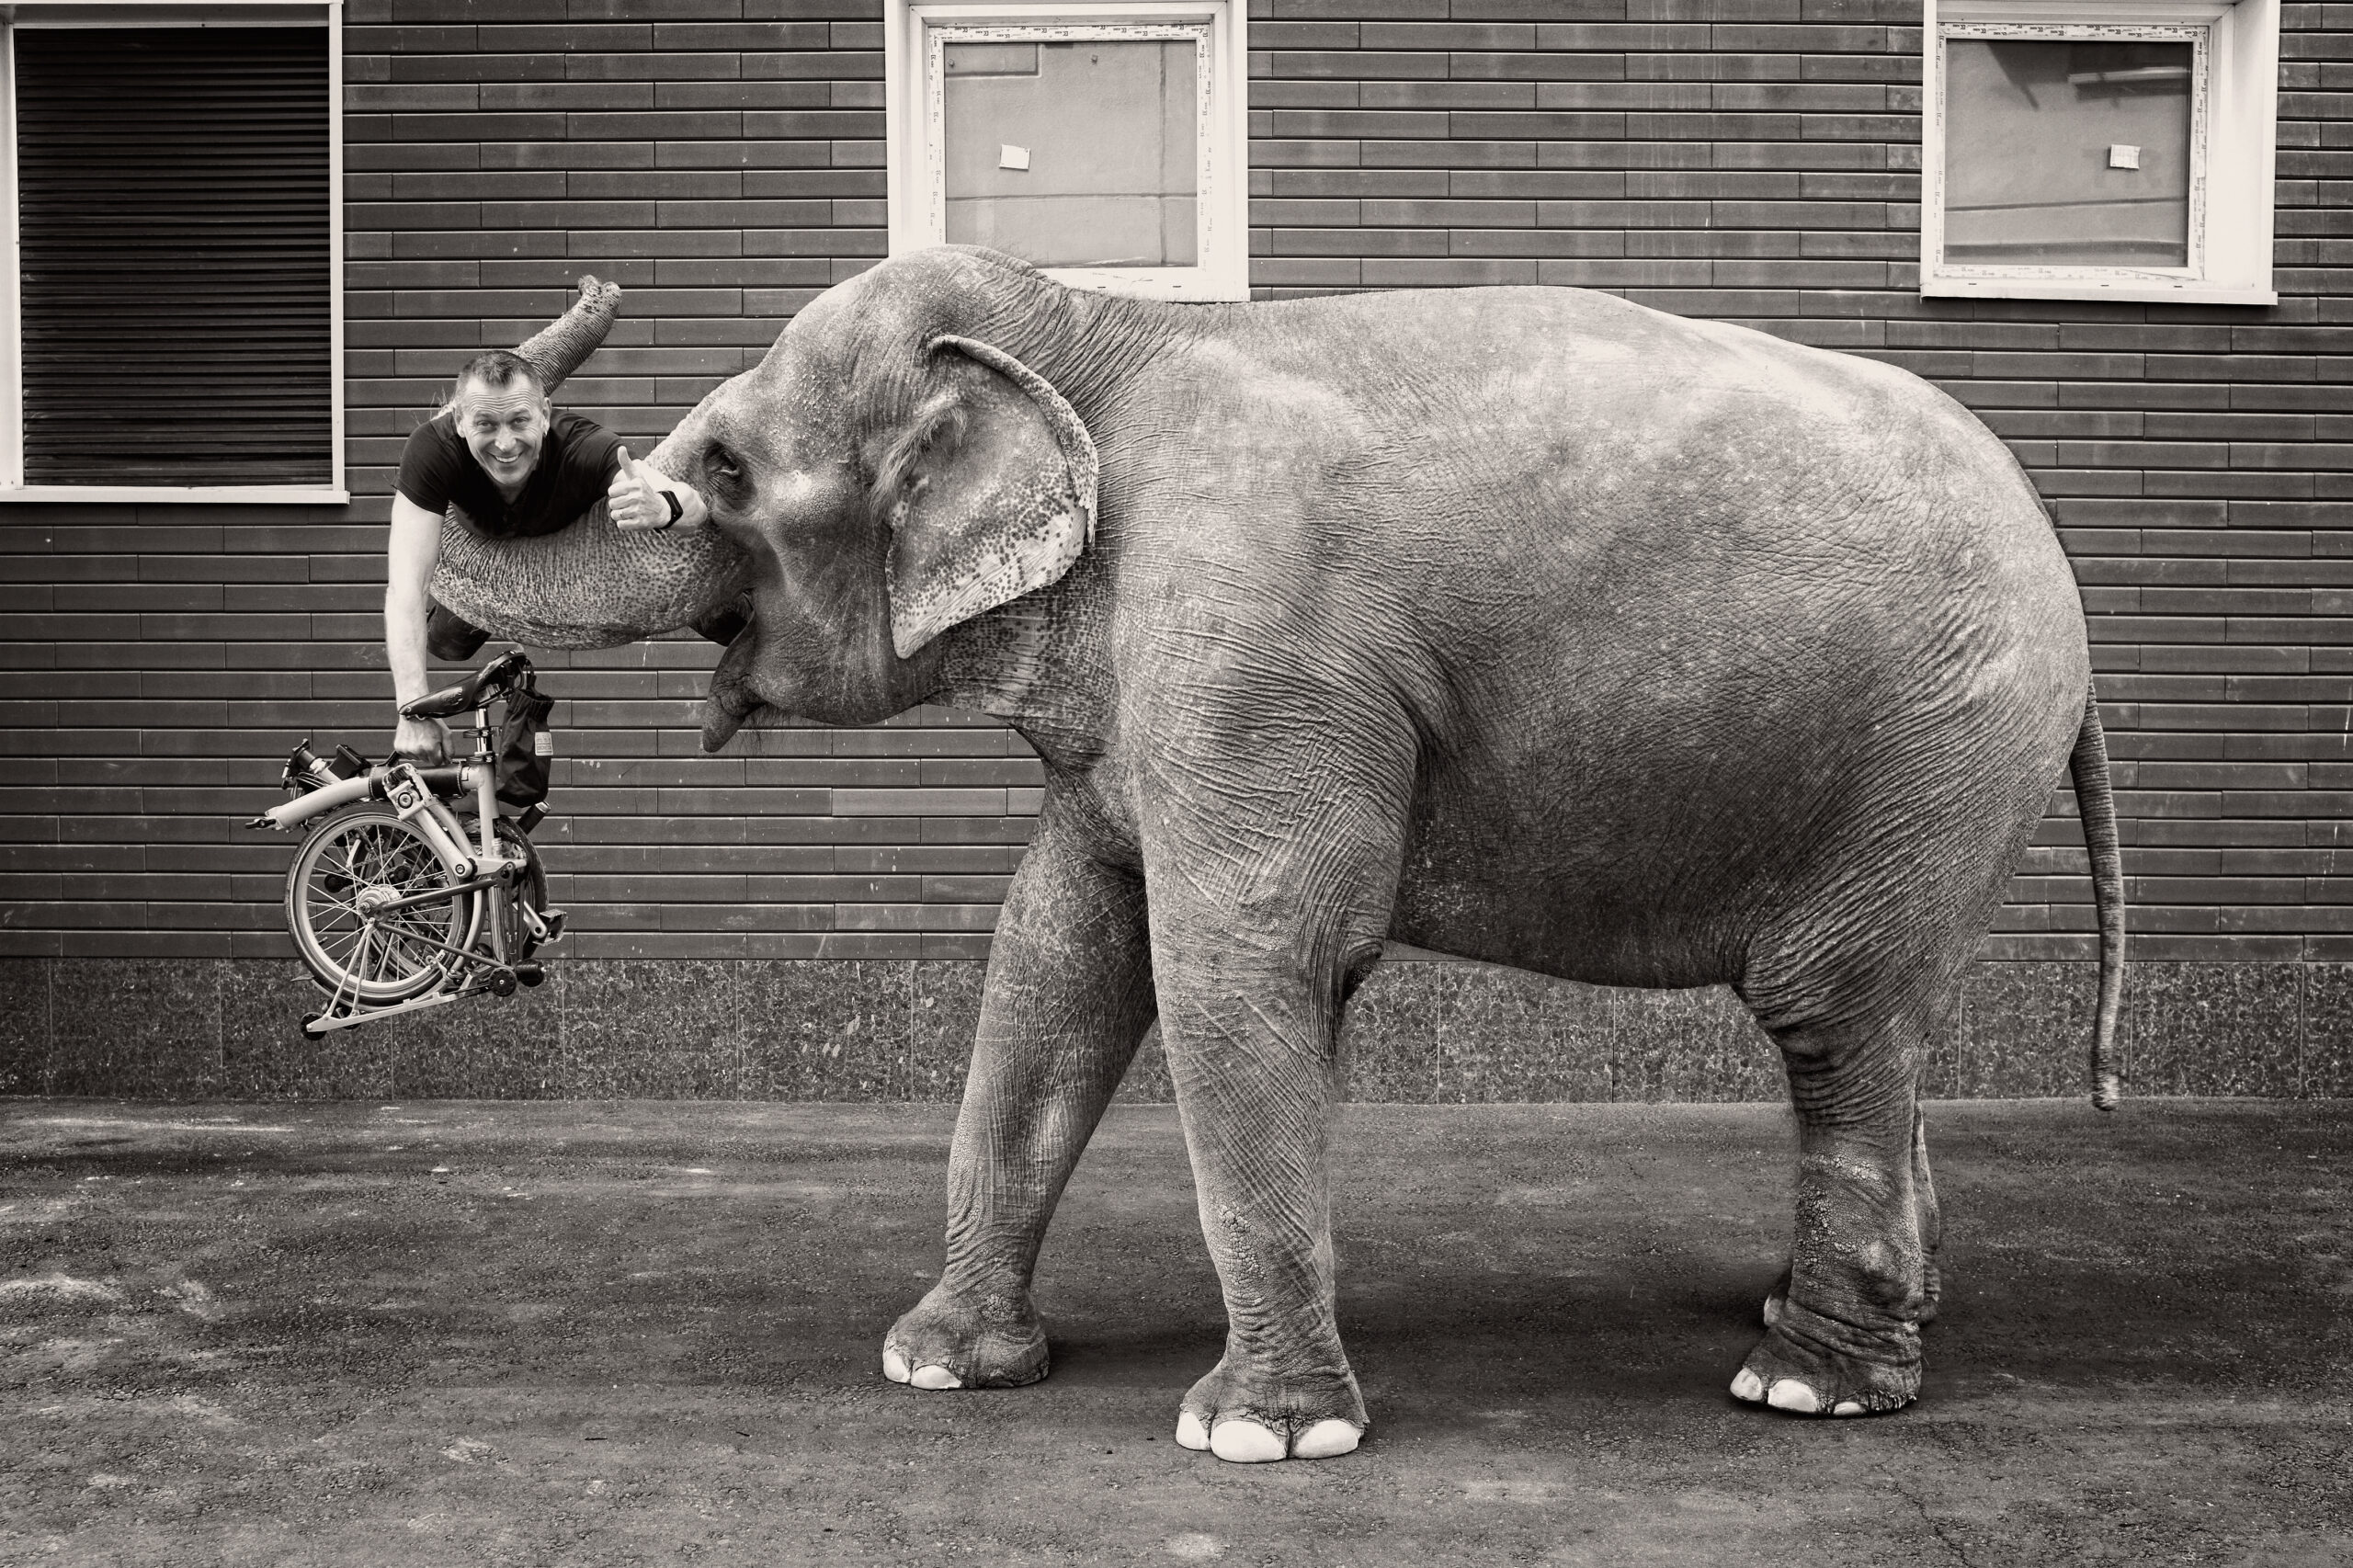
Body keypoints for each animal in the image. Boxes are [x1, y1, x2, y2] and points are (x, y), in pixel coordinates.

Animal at [435, 246, 2125, 1462]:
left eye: (722, 472)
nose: (501, 422)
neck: (1094, 327)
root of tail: (2060, 557)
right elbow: (1056, 955)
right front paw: (938, 1367)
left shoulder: (1254, 646)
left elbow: (1240, 962)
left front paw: (1259, 1439)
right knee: (1877, 1033)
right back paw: (1855, 1318)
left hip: (1937, 748)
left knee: (1832, 1017)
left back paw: (1803, 1384)